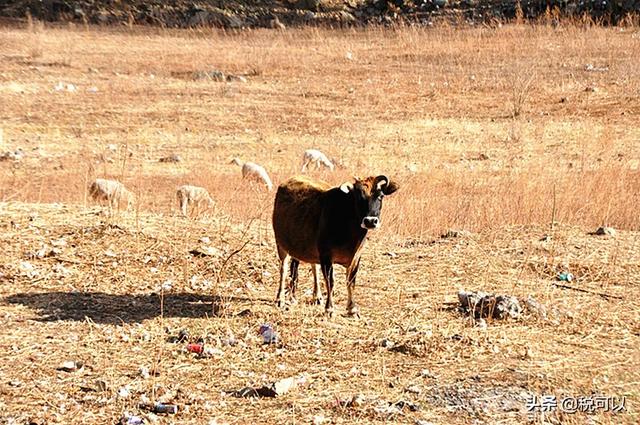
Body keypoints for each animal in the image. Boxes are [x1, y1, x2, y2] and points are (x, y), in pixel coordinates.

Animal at [272, 174, 398, 316]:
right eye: (358, 196)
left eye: (380, 196)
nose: (370, 221)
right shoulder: (326, 256)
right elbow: (330, 282)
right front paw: (329, 308)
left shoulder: (356, 257)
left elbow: (351, 282)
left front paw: (352, 308)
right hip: (281, 245)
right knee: (284, 269)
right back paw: (281, 299)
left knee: (311, 267)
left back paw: (316, 296)